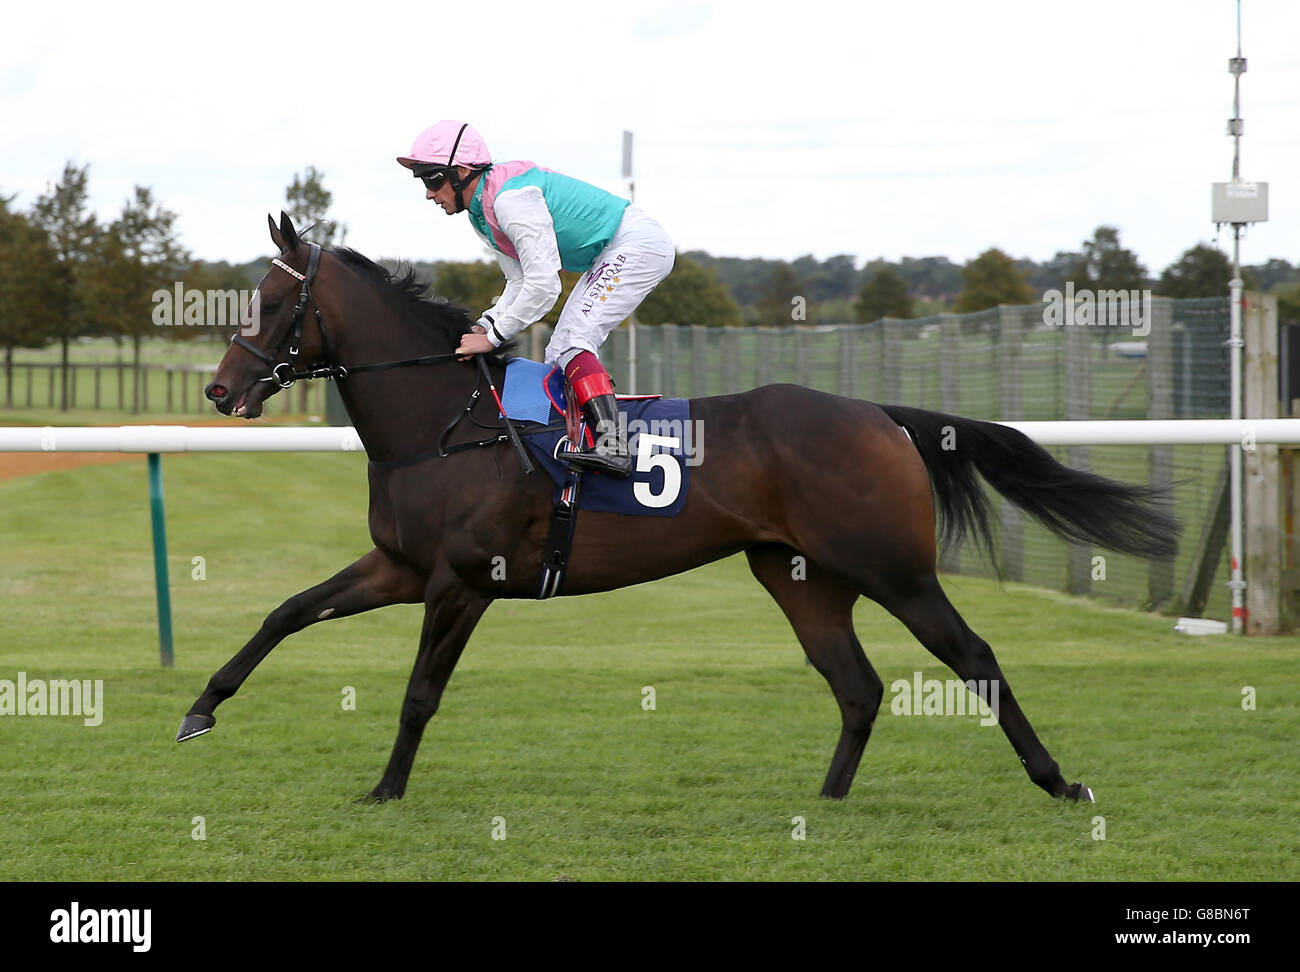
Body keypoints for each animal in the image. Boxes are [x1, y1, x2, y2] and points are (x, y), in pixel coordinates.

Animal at [185, 213, 1180, 805]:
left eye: (271, 301)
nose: (219, 389)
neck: (446, 425)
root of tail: (878, 415)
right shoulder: (399, 567)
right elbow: (285, 612)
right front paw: (201, 709)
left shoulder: (461, 583)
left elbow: (420, 694)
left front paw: (386, 790)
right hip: (798, 574)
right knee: (857, 684)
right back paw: (827, 801)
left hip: (894, 568)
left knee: (972, 657)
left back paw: (1060, 783)